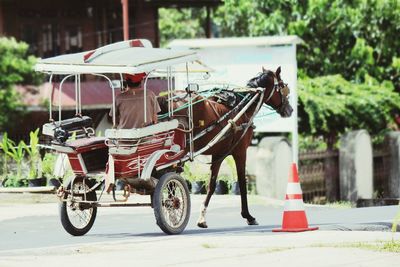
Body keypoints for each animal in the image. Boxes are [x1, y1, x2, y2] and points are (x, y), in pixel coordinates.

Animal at [158, 67, 292, 228]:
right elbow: (242, 183)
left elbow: (211, 185)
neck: (241, 108)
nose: (290, 109)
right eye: (282, 86)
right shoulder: (240, 152)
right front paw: (248, 216)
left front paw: (202, 217)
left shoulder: (218, 154)